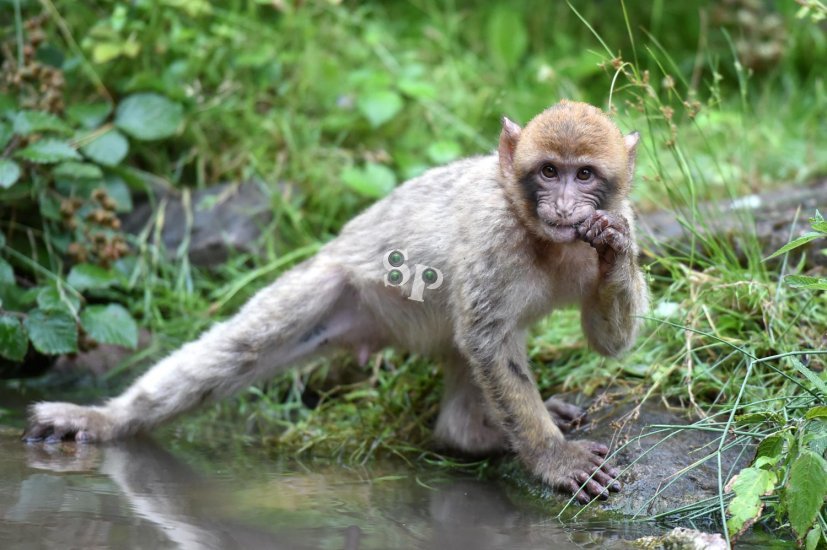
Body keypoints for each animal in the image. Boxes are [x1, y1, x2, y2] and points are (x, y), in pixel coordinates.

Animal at [22, 99, 652, 504]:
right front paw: (551, 458)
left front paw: (612, 252)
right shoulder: (494, 235)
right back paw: (106, 419)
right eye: (548, 172)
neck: (543, 240)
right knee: (242, 349)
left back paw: (470, 435)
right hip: (332, 284)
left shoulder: (620, 217)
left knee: (461, 350)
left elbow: (608, 341)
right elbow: (489, 340)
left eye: (584, 175)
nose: (565, 207)